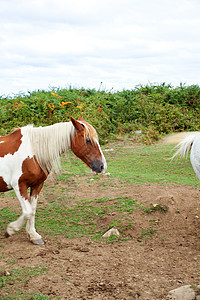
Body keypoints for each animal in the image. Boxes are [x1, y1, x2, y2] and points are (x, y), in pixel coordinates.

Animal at [0, 116, 107, 245]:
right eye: (88, 140)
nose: (102, 166)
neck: (33, 153)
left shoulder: (37, 185)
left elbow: (32, 210)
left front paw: (33, 235)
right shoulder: (19, 186)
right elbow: (27, 212)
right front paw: (10, 230)